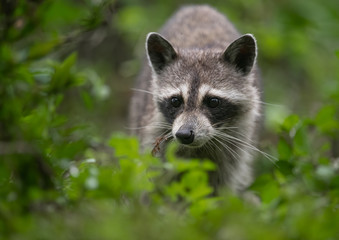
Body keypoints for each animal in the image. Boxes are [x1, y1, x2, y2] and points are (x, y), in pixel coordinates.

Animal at [129, 5, 262, 193]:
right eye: (175, 101)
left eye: (213, 102)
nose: (184, 134)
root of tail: (199, 7)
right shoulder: (153, 132)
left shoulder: (236, 145)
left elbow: (220, 188)